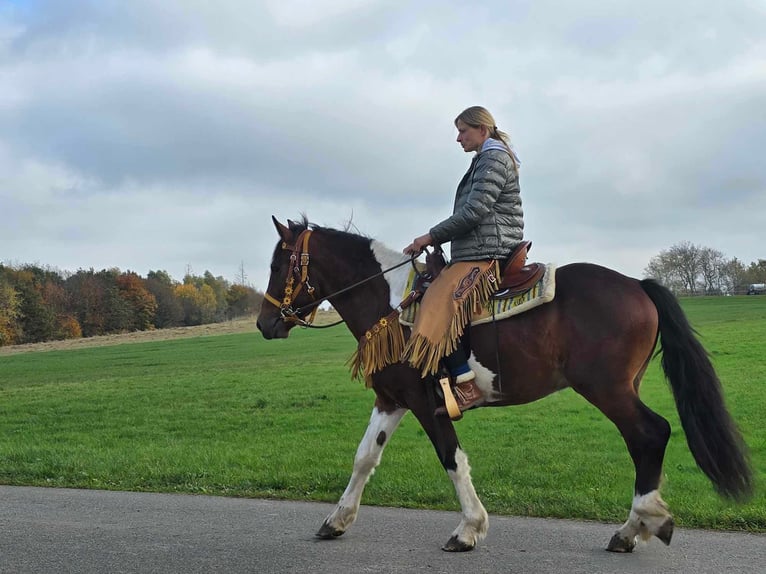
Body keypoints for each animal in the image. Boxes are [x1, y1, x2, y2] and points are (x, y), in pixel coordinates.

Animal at [255, 216, 752, 552]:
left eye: (280, 264)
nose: (264, 324)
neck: (392, 303)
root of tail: (636, 283)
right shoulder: (391, 399)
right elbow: (364, 458)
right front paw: (336, 521)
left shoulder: (424, 402)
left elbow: (452, 459)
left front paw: (468, 528)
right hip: (620, 387)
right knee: (645, 439)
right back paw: (635, 527)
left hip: (607, 389)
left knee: (650, 434)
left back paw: (639, 523)